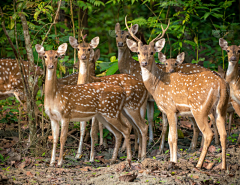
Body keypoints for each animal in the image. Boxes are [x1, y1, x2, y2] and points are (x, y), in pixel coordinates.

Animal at [125, 16, 229, 170]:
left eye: (152, 52)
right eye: (138, 52)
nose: (143, 63)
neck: (157, 85)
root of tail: (221, 83)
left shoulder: (170, 108)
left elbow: (172, 138)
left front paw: (173, 162)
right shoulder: (172, 111)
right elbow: (170, 137)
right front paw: (173, 160)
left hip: (200, 108)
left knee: (208, 133)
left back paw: (199, 164)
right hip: (220, 108)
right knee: (224, 133)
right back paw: (223, 166)